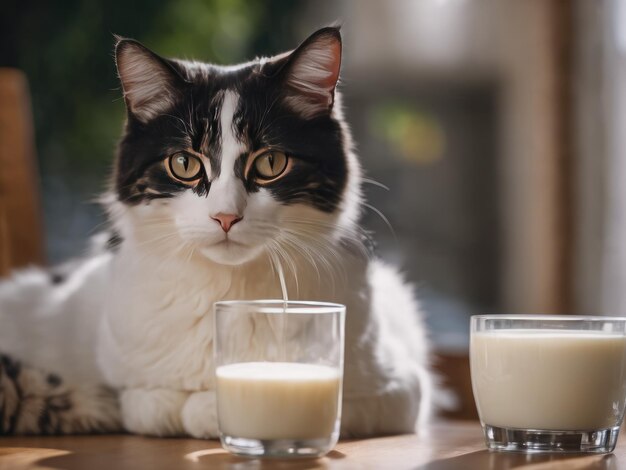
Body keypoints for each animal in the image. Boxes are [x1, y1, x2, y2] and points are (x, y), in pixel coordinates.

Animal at [0, 25, 434, 436]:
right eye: (184, 164)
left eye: (271, 162)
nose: (226, 217)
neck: (230, 293)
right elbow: (144, 402)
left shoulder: (400, 389)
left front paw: (208, 409)